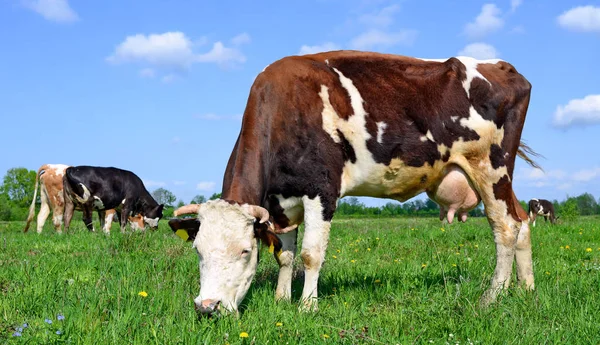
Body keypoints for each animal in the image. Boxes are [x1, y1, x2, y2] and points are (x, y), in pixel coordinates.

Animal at [178, 51, 540, 314]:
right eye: (197, 250)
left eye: (244, 251)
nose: (207, 307)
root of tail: (502, 65)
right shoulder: (281, 203)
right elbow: (285, 255)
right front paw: (282, 299)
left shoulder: (321, 191)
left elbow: (310, 254)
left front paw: (307, 307)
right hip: (500, 175)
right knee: (522, 220)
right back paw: (526, 290)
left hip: (490, 166)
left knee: (505, 227)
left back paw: (492, 297)